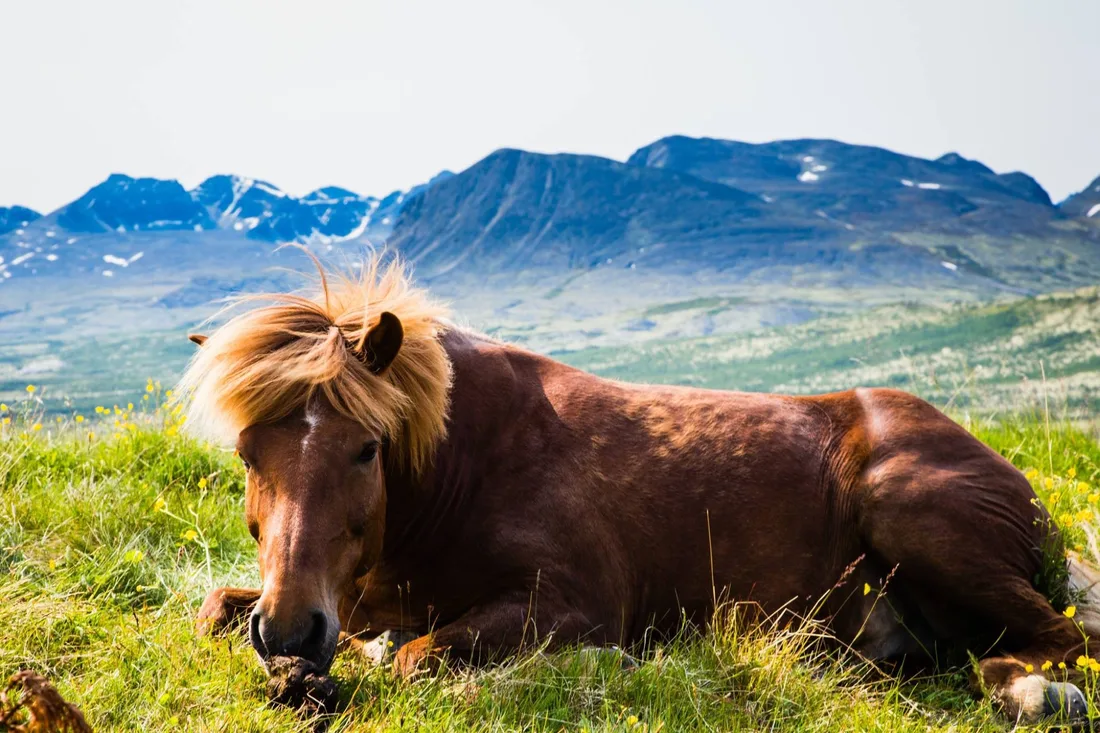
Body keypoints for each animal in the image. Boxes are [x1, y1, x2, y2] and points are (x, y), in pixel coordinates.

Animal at [181, 256, 1100, 724]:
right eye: (246, 452)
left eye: (367, 449)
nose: (292, 631)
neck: (463, 470)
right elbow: (217, 607)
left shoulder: (574, 598)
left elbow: (415, 656)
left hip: (909, 511)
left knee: (1058, 638)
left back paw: (1033, 691)